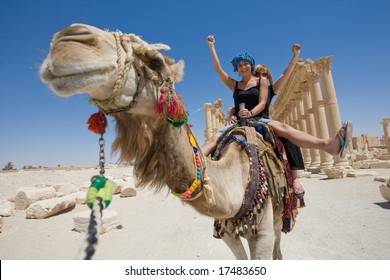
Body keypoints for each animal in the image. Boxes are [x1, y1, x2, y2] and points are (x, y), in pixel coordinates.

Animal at [39, 24, 296, 260]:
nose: (67, 42)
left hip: (280, 214)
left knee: (279, 249)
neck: (238, 176)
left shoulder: (262, 231)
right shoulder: (225, 229)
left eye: (156, 62)